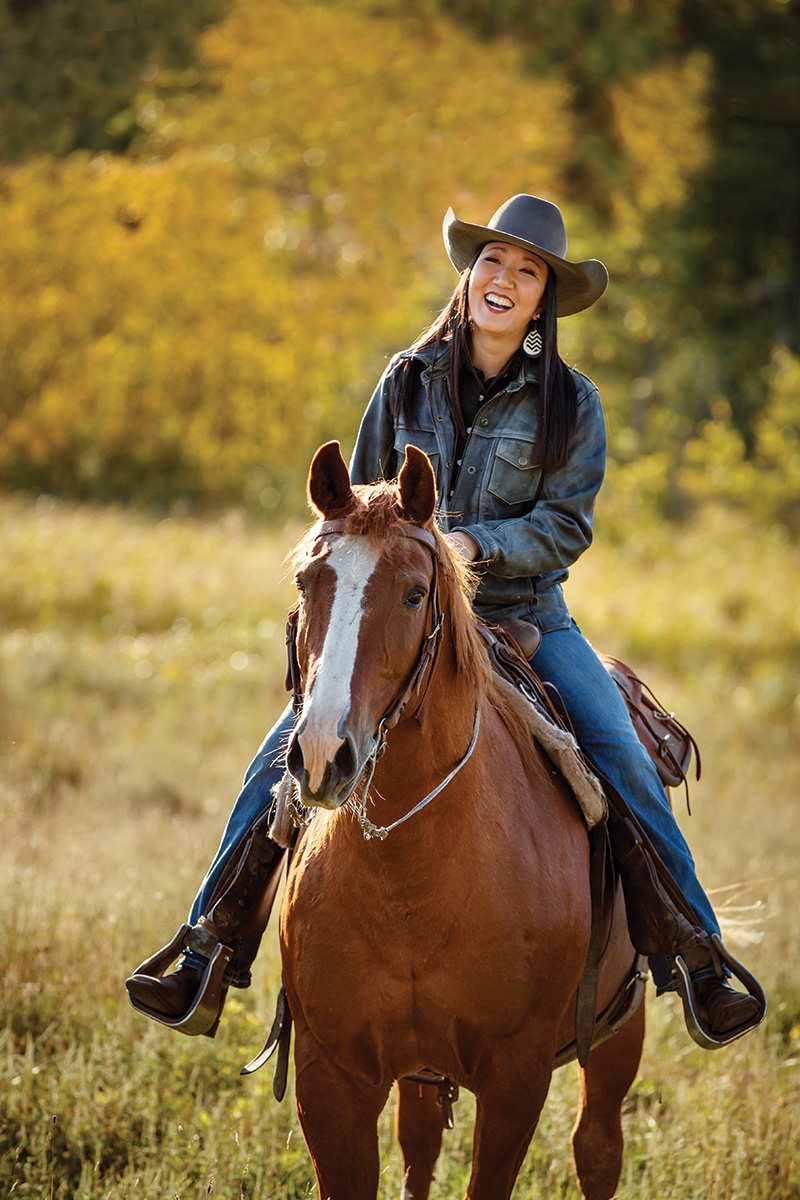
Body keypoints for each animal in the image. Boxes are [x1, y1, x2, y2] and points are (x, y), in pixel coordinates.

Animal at [278, 441, 647, 1200]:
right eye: (307, 582)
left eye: (415, 593)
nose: (323, 754)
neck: (410, 874)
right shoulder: (331, 1079)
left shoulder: (516, 1080)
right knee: (420, 1146)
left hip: (620, 1030)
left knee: (598, 1147)